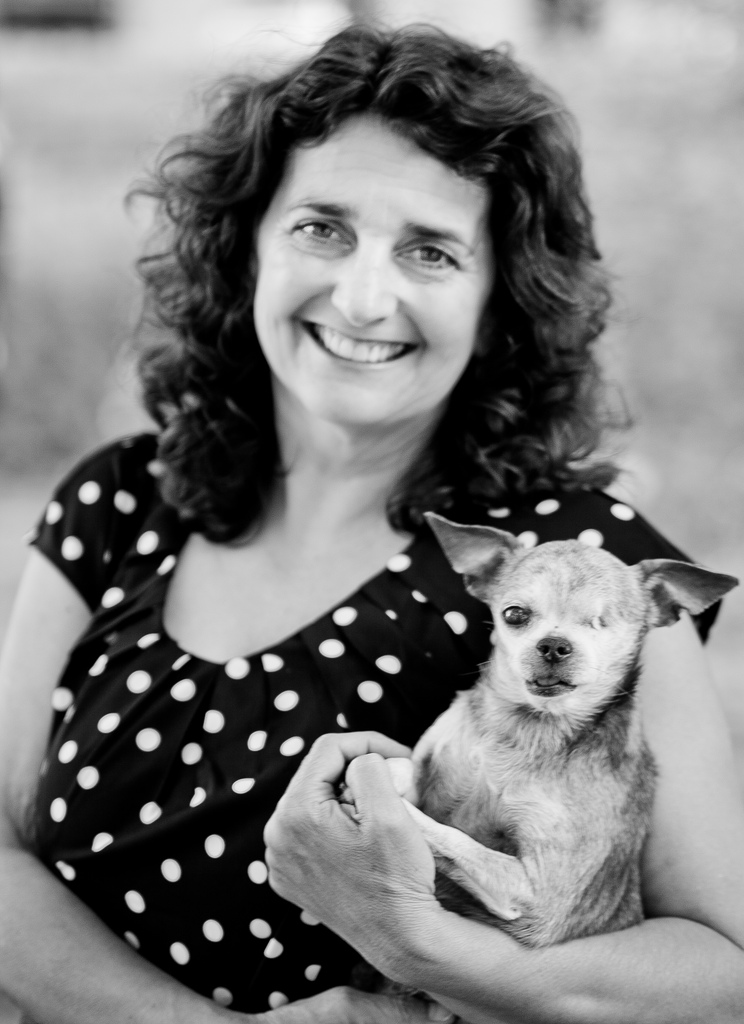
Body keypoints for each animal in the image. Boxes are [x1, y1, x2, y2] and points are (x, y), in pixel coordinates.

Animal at [375, 512, 738, 948]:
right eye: (514, 614)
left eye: (601, 622)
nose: (553, 645)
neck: (527, 726)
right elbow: (402, 768)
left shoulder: (538, 893)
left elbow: (447, 835)